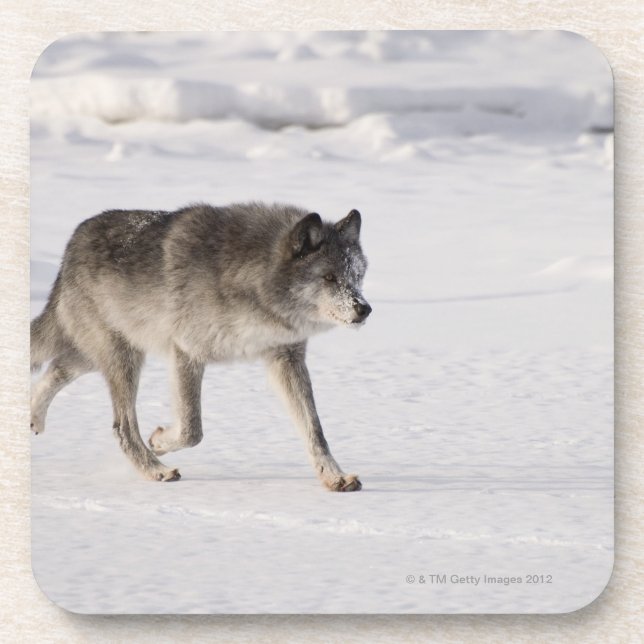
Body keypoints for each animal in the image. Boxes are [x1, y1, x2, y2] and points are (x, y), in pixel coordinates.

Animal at [30, 202, 371, 492]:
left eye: (356, 276)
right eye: (329, 277)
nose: (364, 309)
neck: (252, 278)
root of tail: (72, 245)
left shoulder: (286, 358)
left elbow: (315, 430)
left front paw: (334, 477)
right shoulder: (187, 352)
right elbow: (192, 429)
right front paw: (160, 441)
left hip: (104, 353)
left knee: (56, 367)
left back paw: (32, 417)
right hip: (122, 359)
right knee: (122, 427)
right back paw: (156, 471)